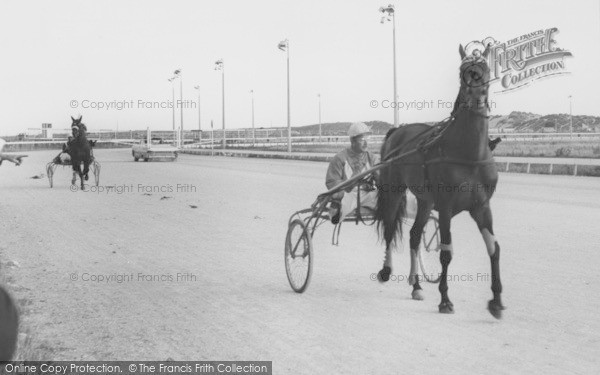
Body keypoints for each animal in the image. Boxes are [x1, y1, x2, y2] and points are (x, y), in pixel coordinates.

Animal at [378, 44, 504, 320]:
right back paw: (385, 271)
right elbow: (446, 252)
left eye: (485, 68)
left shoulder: (482, 207)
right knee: (390, 229)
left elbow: (494, 248)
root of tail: (399, 130)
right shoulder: (446, 206)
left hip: (425, 201)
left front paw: (496, 301)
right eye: (463, 70)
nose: (475, 95)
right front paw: (445, 300)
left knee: (414, 236)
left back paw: (416, 285)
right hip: (394, 190)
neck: (468, 154)